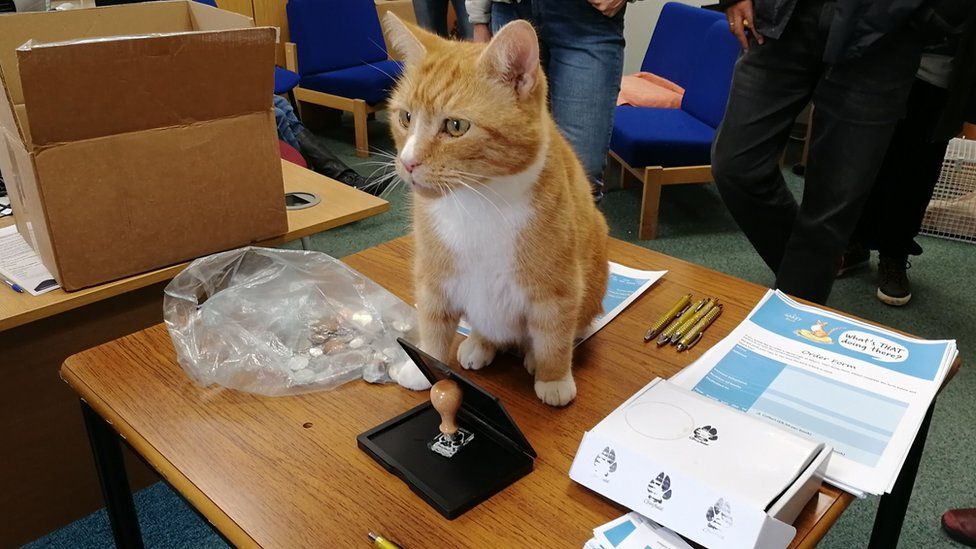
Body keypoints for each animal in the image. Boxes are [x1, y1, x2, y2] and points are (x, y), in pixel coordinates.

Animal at [384, 13, 608, 406]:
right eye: (405, 118)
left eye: (456, 126)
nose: (408, 162)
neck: (476, 201)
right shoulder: (433, 277)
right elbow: (433, 325)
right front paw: (424, 365)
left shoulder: (557, 288)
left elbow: (553, 336)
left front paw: (553, 378)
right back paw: (479, 343)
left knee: (564, 330)